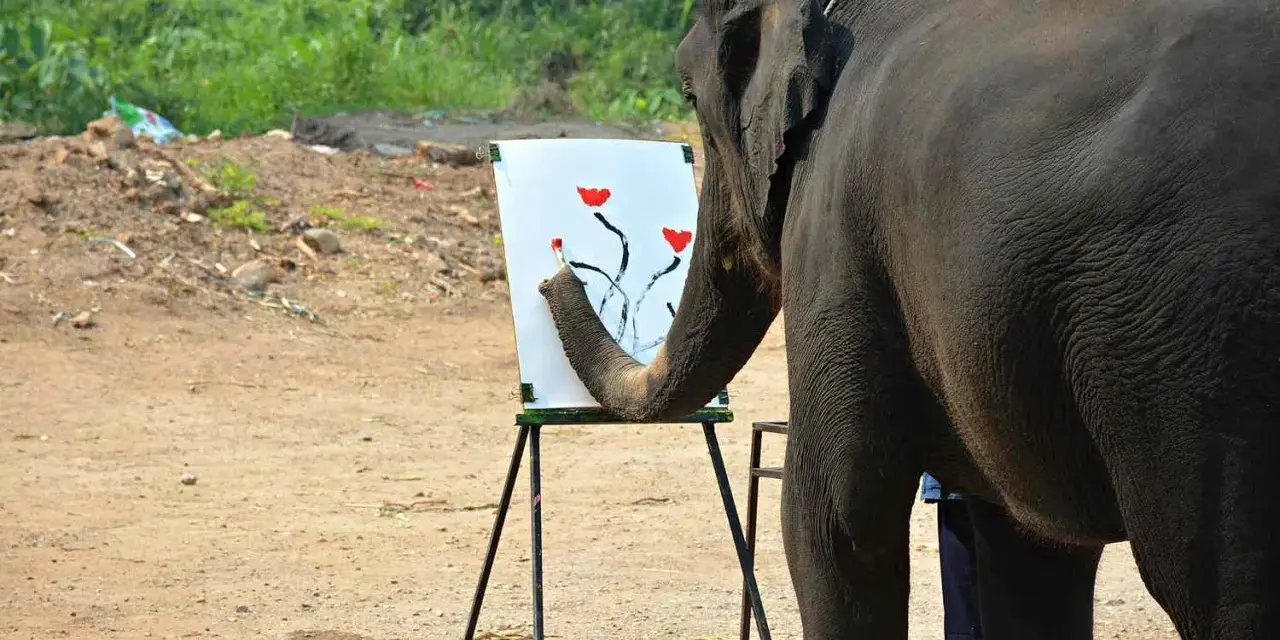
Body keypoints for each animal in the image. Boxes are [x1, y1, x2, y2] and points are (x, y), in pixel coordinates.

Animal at [536, 0, 1280, 638]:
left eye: (688, 97)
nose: (554, 273)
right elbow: (1028, 554)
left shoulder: (833, 235)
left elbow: (832, 523)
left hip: (1203, 335)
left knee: (1225, 591)